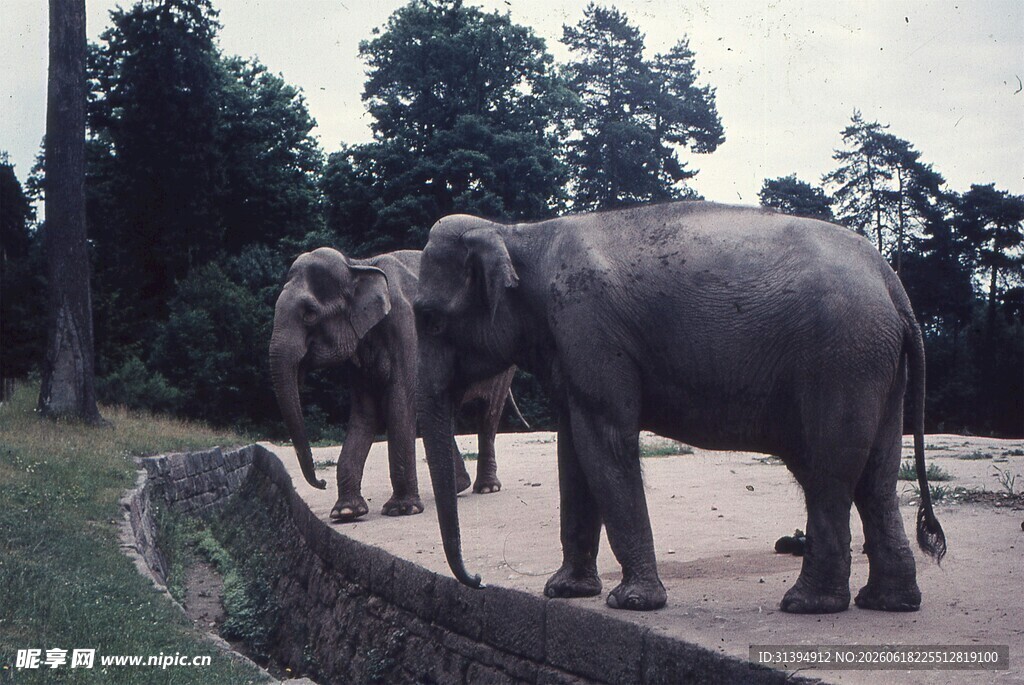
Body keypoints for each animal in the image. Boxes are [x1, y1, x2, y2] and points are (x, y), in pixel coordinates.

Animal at [269, 247, 526, 522]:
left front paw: (402, 510)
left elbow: (400, 403)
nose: (321, 482)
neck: (358, 265)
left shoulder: (406, 328)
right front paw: (346, 513)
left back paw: (486, 488)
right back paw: (458, 487)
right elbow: (365, 414)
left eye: (309, 314)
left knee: (488, 413)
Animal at [413, 201, 947, 613]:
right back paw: (888, 602)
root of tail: (893, 285)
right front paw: (565, 592)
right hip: (874, 364)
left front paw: (631, 602)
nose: (478, 580)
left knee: (831, 471)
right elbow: (573, 452)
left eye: (428, 318)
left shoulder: (588, 327)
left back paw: (807, 605)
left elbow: (604, 441)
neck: (518, 233)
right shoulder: (570, 345)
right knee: (874, 477)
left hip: (840, 360)